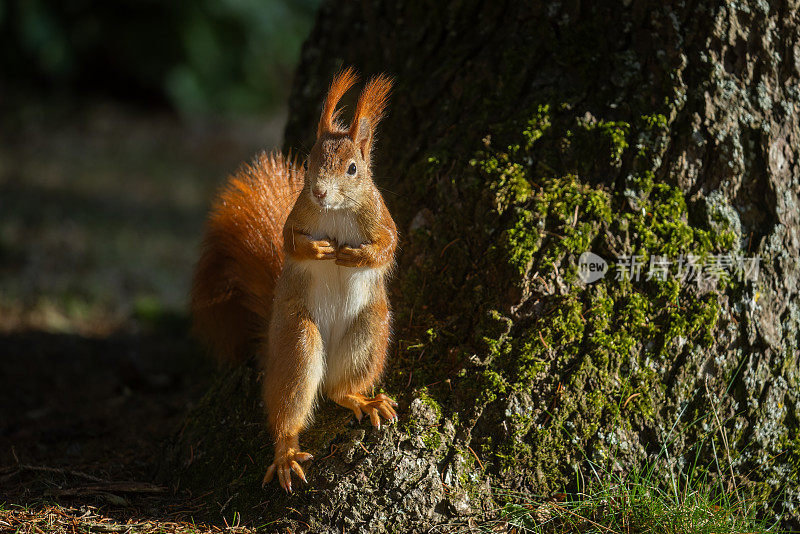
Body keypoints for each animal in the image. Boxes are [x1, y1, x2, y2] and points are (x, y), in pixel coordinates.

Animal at [188, 69, 400, 496]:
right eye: (309, 160)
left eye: (353, 169)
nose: (318, 191)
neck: (335, 211)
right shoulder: (295, 218)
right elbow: (290, 244)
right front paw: (318, 249)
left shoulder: (382, 219)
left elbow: (387, 247)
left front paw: (353, 257)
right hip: (298, 339)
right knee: (288, 410)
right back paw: (286, 453)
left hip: (369, 330)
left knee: (338, 390)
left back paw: (363, 400)